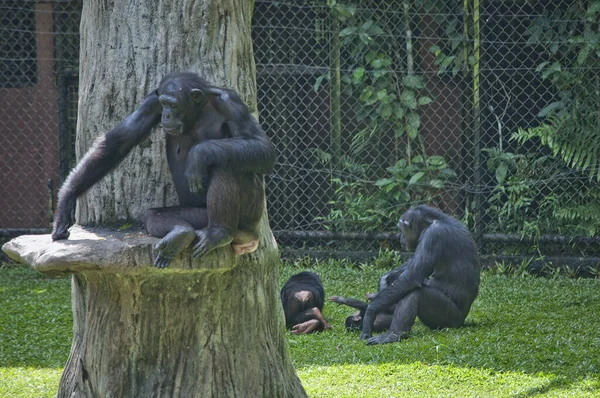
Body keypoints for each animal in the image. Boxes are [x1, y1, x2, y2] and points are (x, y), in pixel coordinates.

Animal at [52, 73, 276, 268]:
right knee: (153, 215)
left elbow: (262, 146)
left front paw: (199, 155)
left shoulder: (231, 103)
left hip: (250, 216)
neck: (197, 112)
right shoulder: (151, 103)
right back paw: (180, 233)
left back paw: (219, 232)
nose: (167, 114)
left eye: (173, 104)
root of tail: (247, 240)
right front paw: (66, 200)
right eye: (164, 104)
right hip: (197, 215)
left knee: (227, 164)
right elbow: (119, 140)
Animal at [328, 205, 478, 346]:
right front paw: (384, 280)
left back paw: (394, 334)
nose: (400, 237)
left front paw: (369, 313)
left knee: (416, 292)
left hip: (448, 318)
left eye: (401, 230)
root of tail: (462, 321)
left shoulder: (433, 236)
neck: (433, 222)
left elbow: (412, 276)